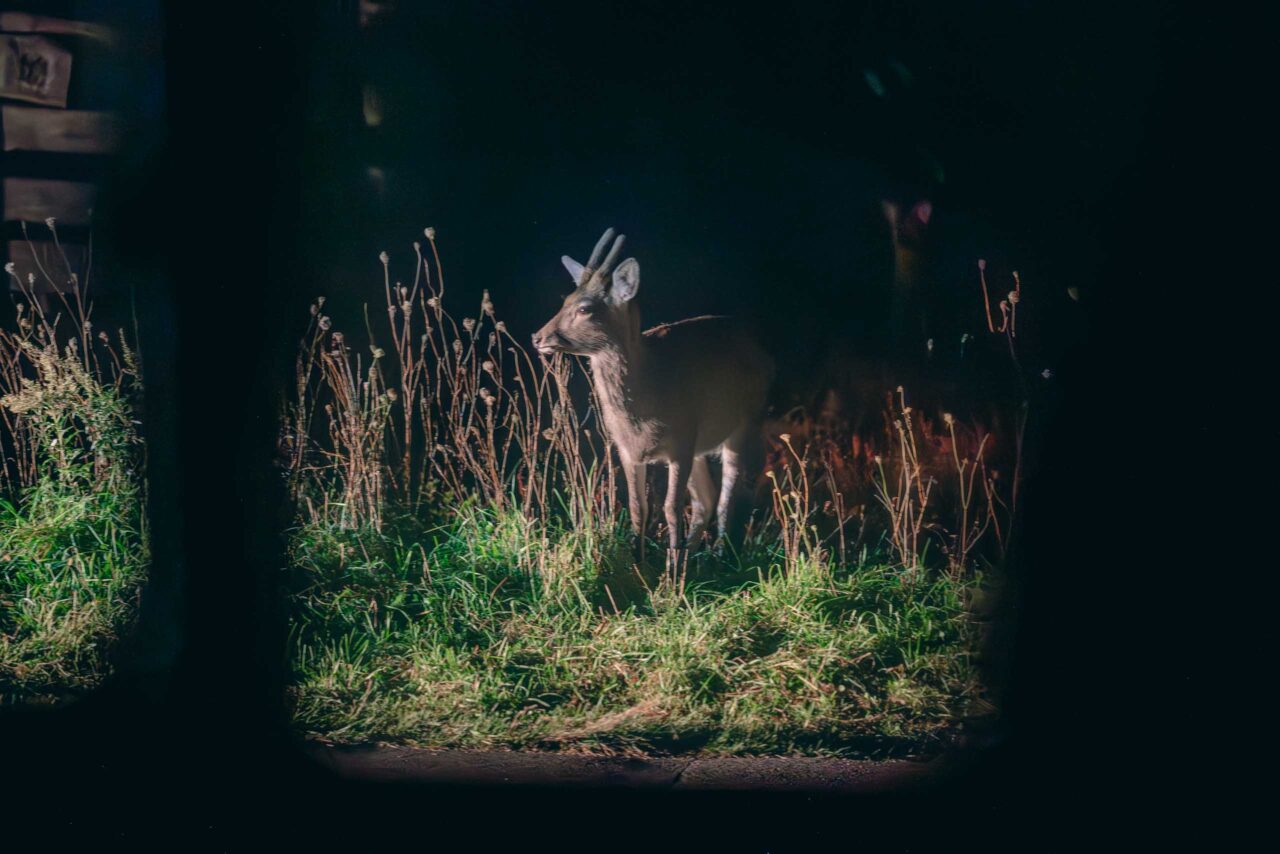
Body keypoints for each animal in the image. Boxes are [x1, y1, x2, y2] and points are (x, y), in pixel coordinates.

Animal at [532, 226, 773, 560]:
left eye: (585, 308)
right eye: (565, 299)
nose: (538, 337)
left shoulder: (681, 442)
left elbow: (671, 508)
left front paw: (672, 569)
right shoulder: (627, 449)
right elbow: (638, 507)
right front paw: (640, 561)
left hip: (745, 423)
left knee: (729, 495)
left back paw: (717, 555)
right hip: (701, 445)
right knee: (706, 499)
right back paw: (695, 556)